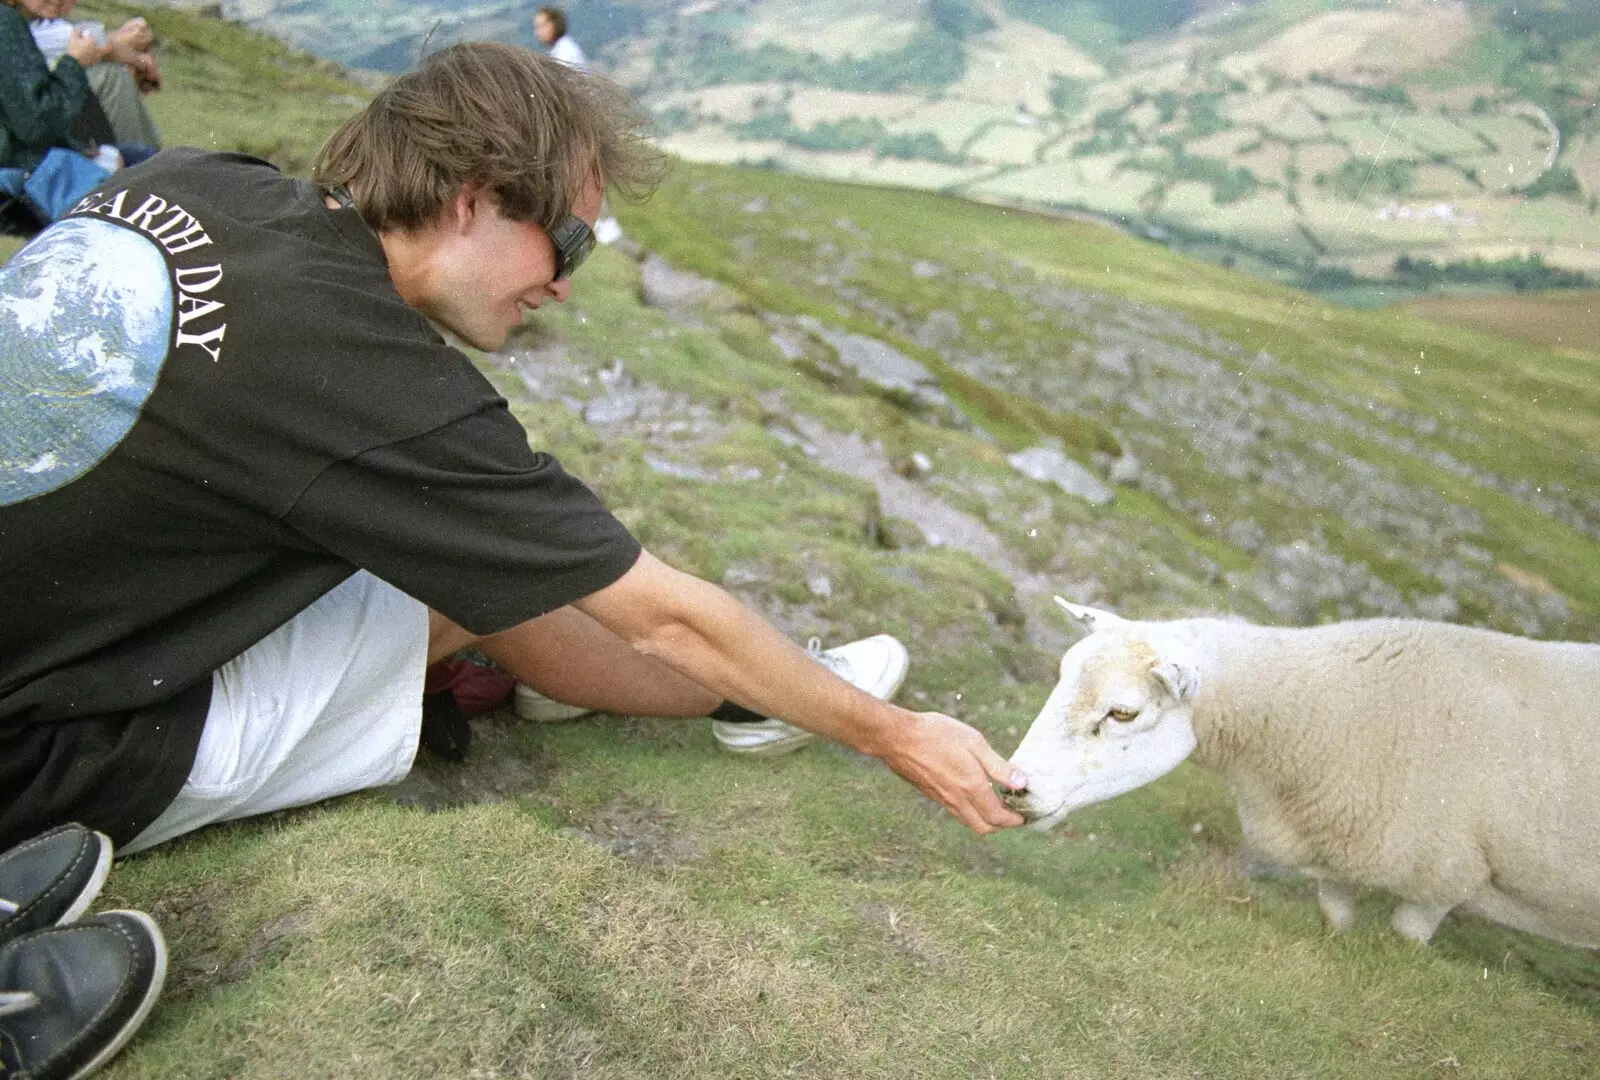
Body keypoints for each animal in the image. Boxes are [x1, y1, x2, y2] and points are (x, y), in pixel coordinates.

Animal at [1004, 598, 1600, 947]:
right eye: (1061, 673)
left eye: (1123, 712)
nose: (1016, 787)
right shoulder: (1340, 854)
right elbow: (1335, 921)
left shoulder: (1442, 875)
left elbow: (1408, 936)